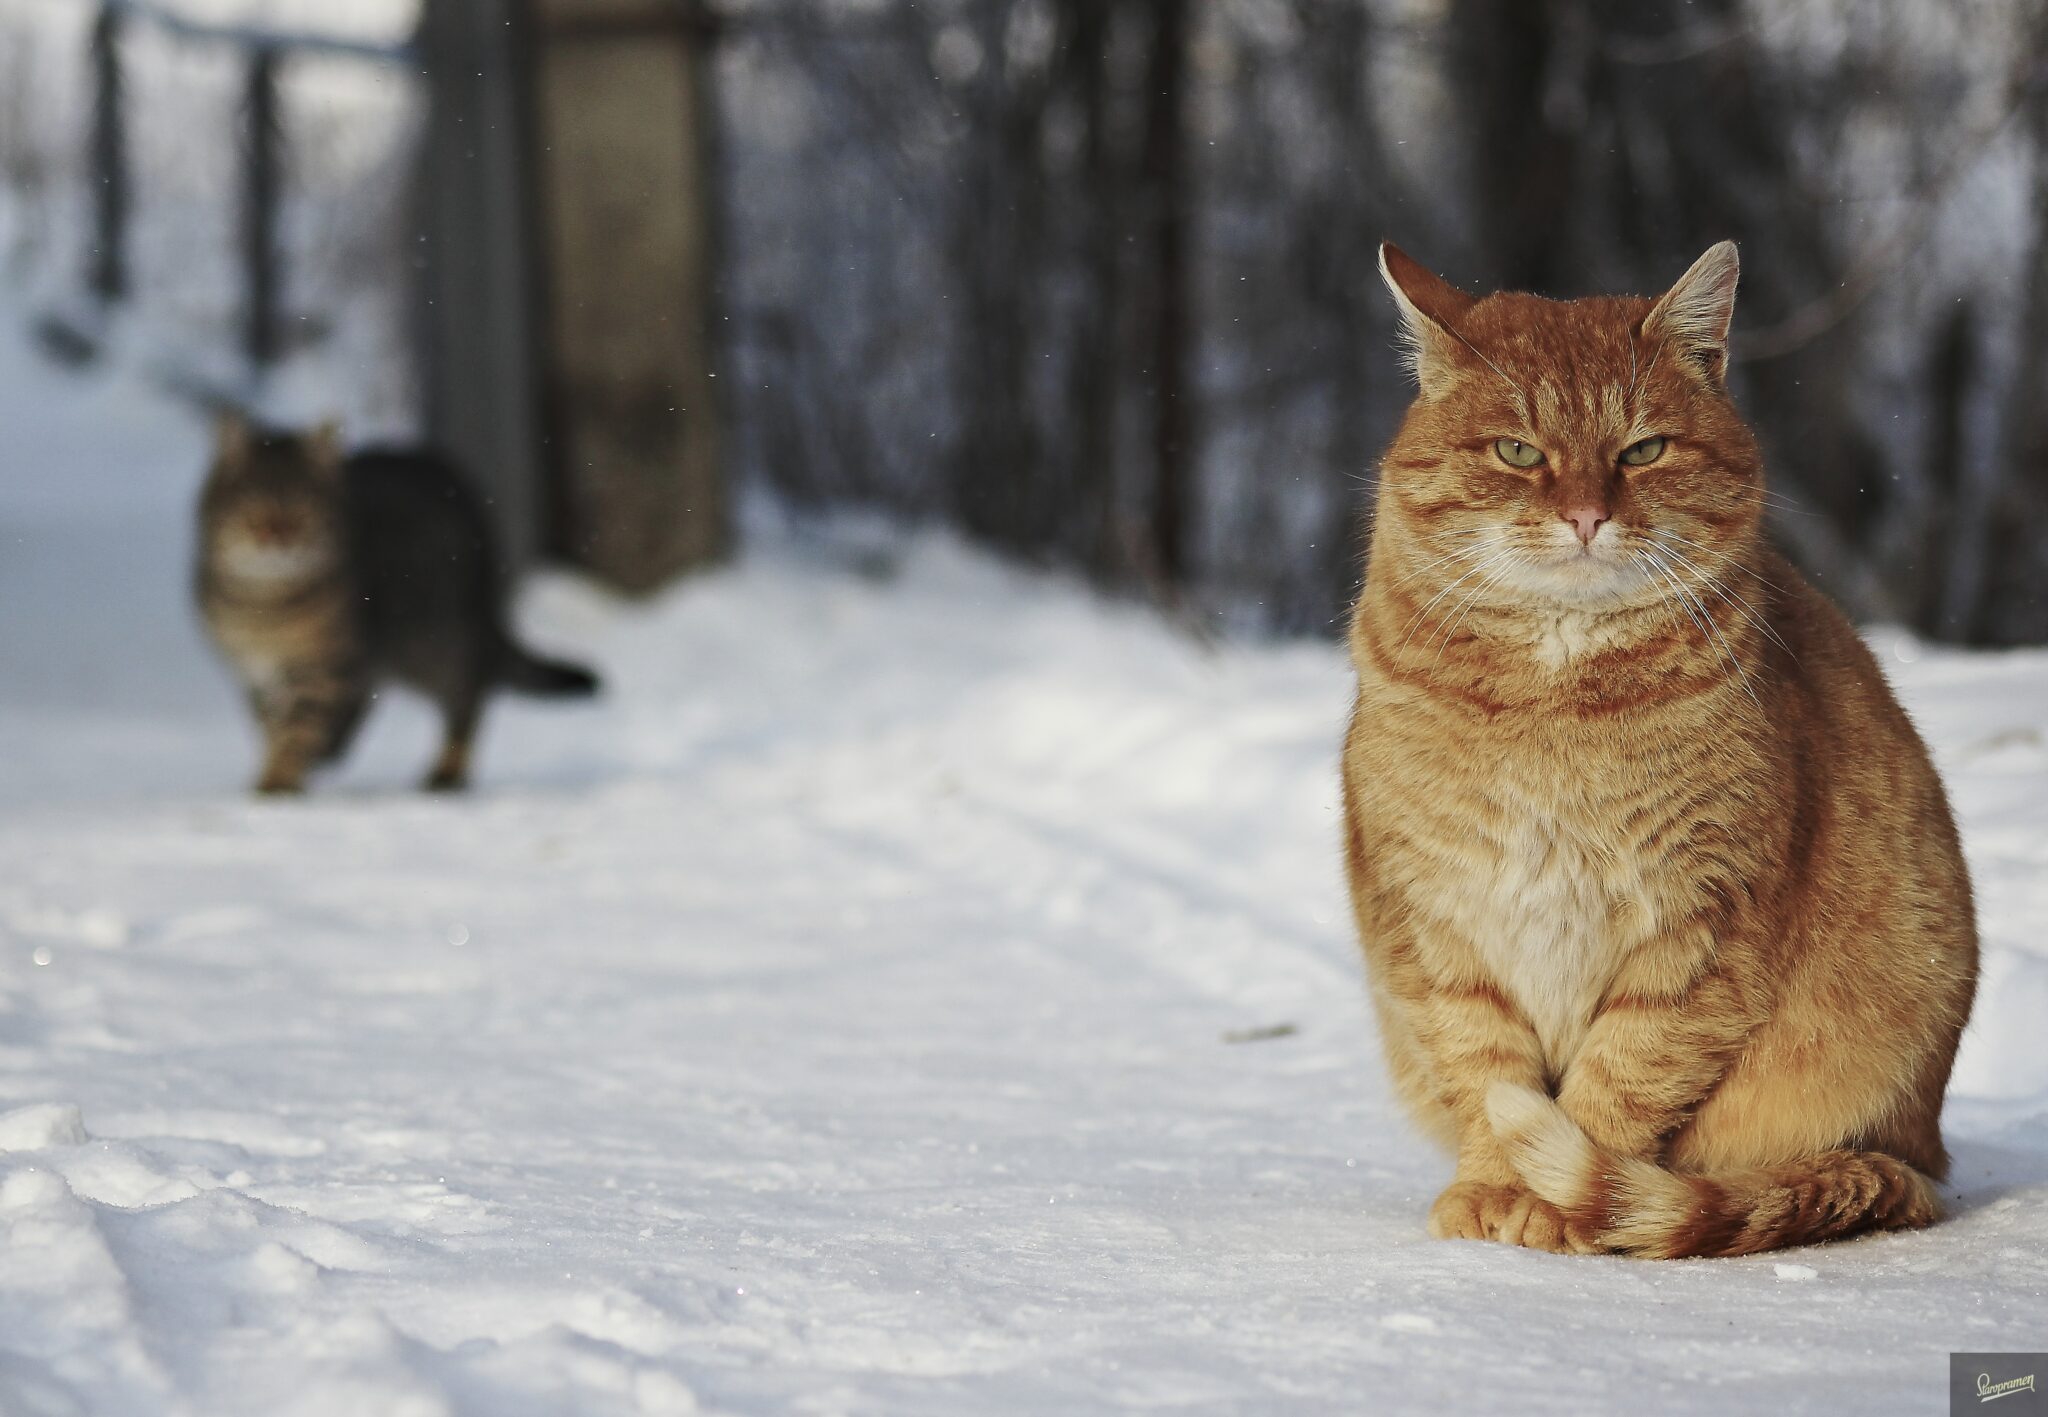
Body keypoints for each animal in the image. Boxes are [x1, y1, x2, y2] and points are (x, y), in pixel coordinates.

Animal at [192, 417, 598, 798]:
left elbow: (297, 728)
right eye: (249, 506)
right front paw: (286, 764)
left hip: (434, 643)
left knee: (469, 693)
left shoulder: (327, 664)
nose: (276, 537)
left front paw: (279, 780)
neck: (263, 605)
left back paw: (447, 770)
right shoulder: (254, 673)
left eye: (303, 509)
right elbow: (270, 725)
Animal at [1343, 237, 1982, 1253]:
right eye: (1518, 451)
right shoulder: (1440, 925)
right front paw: (1492, 1188)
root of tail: (1924, 1154)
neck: (1553, 704)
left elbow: (1619, 1079)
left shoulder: (1700, 923)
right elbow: (1487, 1071)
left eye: (1642, 450)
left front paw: (1552, 1205)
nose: (1585, 516)